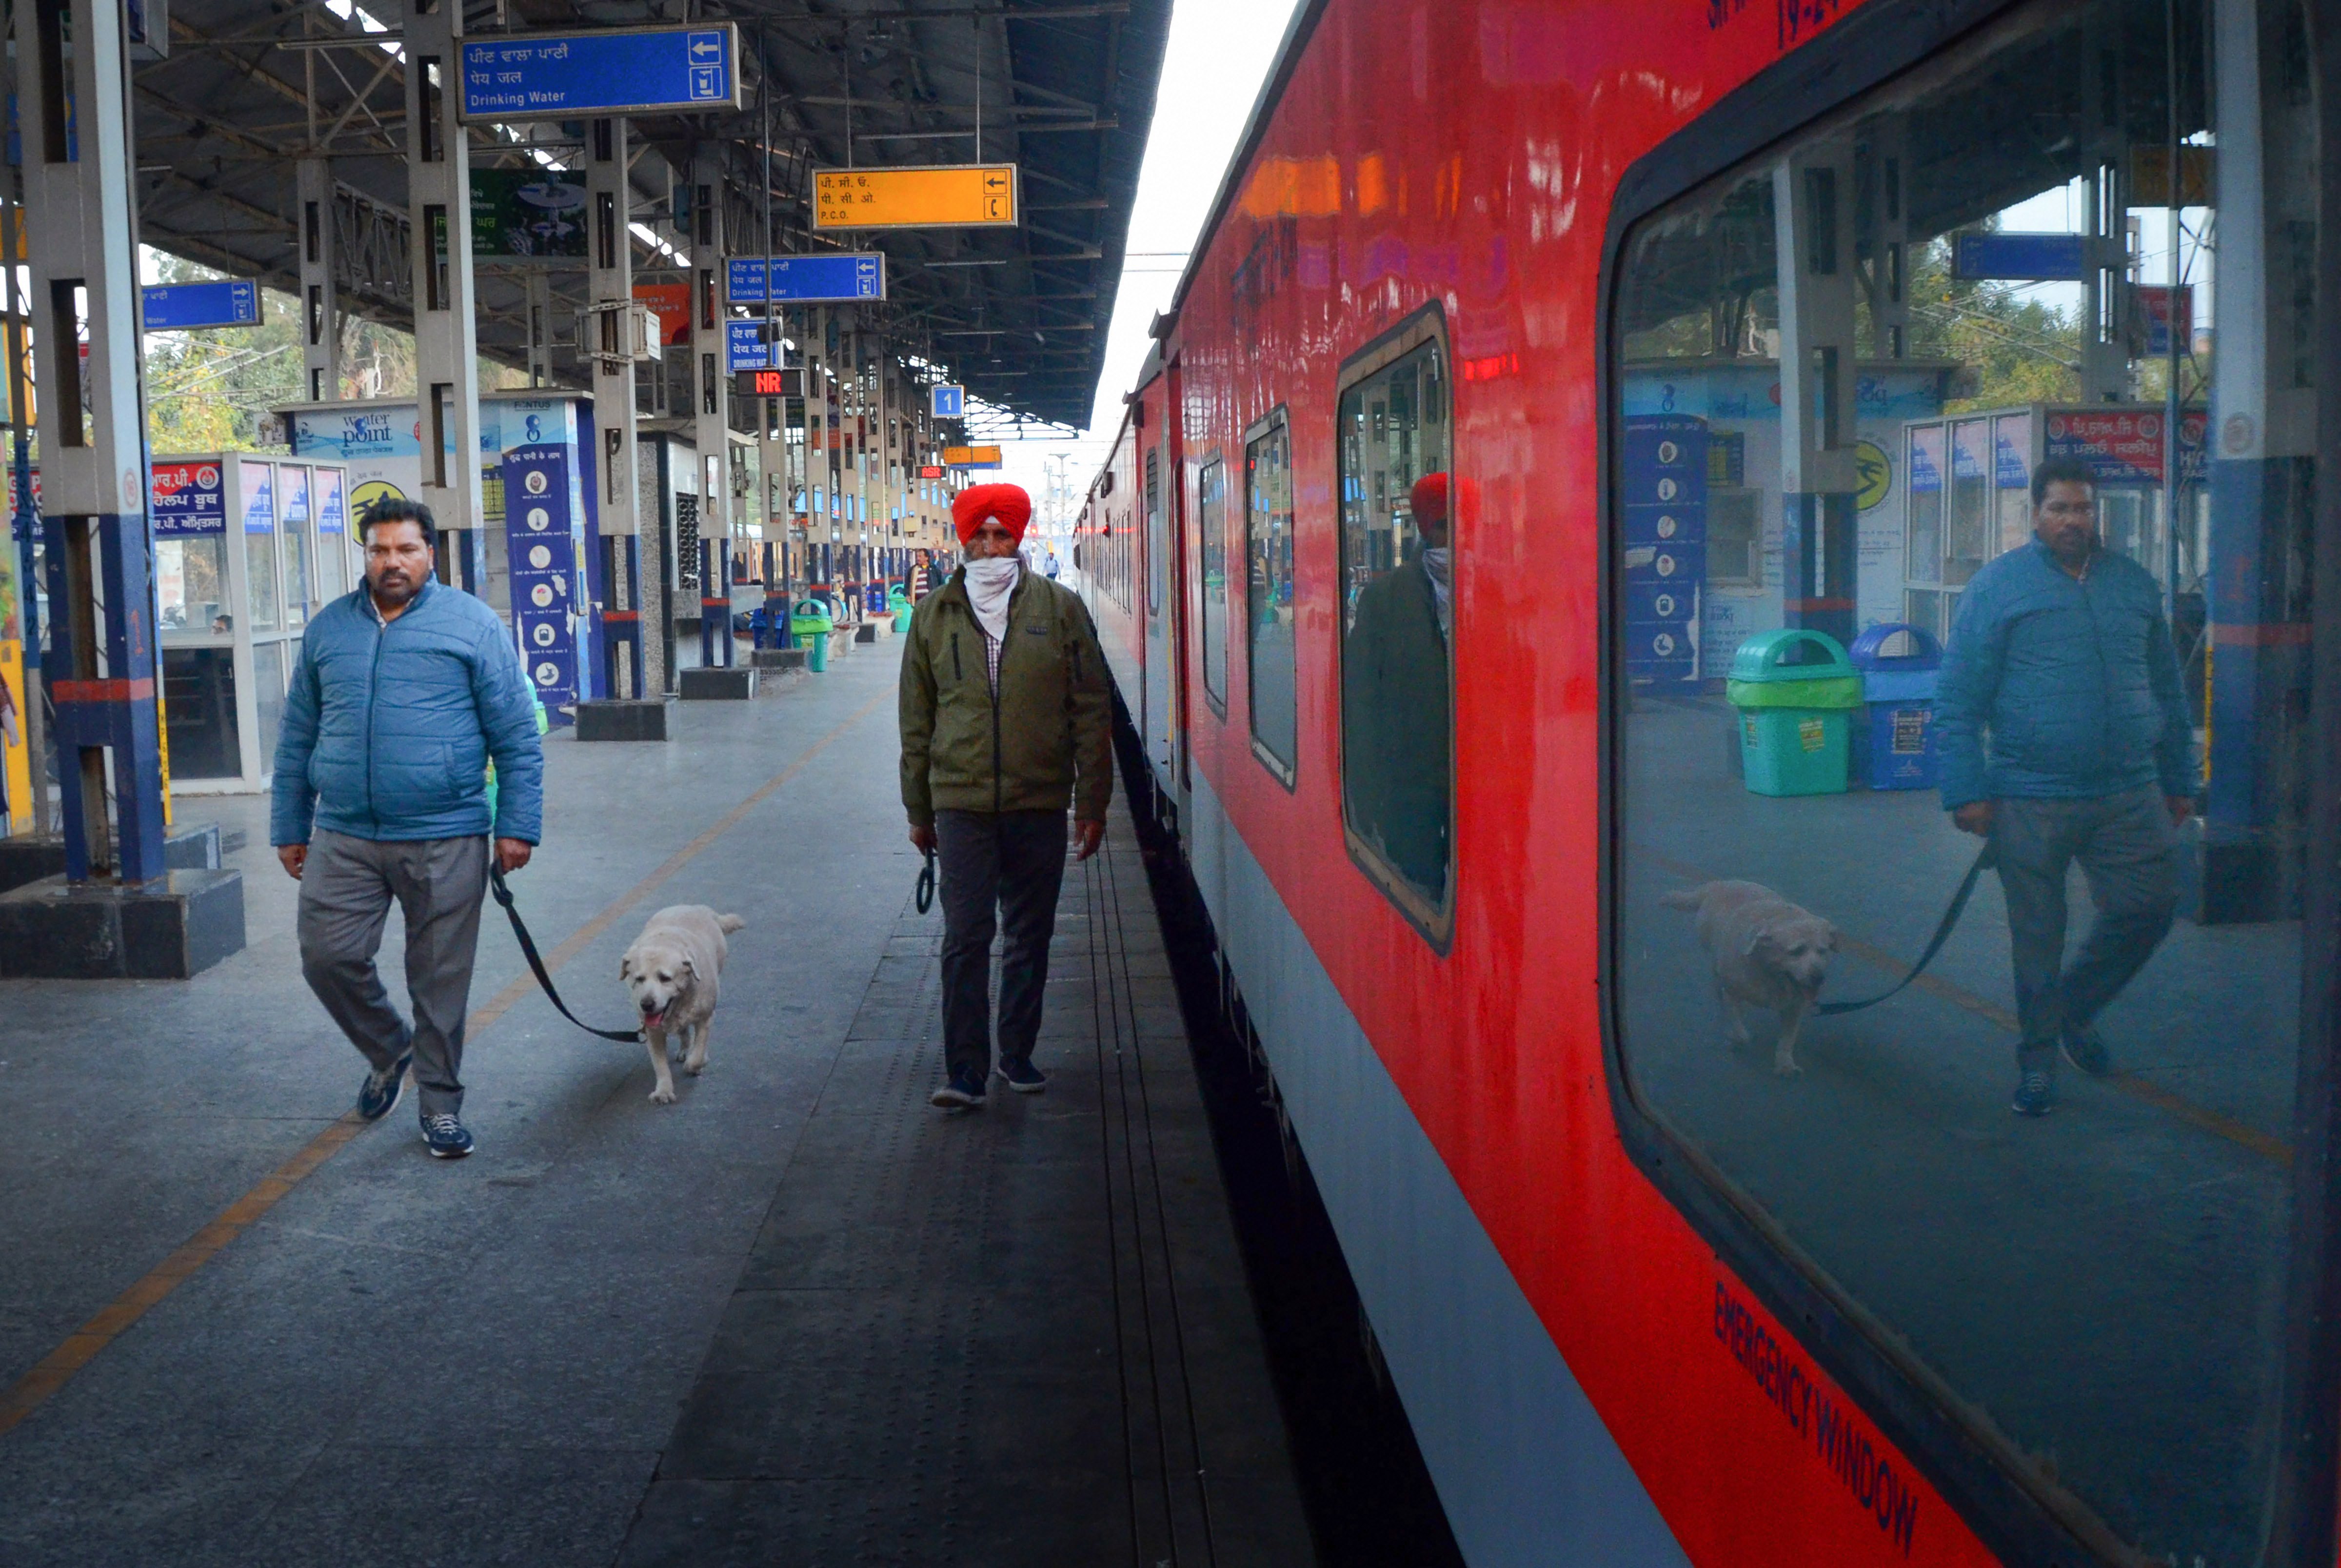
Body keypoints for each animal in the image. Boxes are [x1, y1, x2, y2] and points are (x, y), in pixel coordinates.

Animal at [618, 908, 744, 1104]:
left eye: (665, 978)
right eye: (639, 979)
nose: (647, 1004)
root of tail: (700, 908)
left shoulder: (706, 1017)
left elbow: (699, 1051)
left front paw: (695, 1064)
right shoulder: (652, 1032)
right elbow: (660, 1064)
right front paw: (663, 1091)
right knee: (683, 1030)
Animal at [1657, 884, 1835, 1081]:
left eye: (1822, 951)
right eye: (1797, 951)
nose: (1819, 978)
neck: (1769, 972)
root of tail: (1718, 885)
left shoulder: (1795, 1007)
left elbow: (1788, 1039)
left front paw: (1785, 1063)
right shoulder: (1731, 991)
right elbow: (1737, 1024)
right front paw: (1737, 1037)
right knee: (1719, 987)